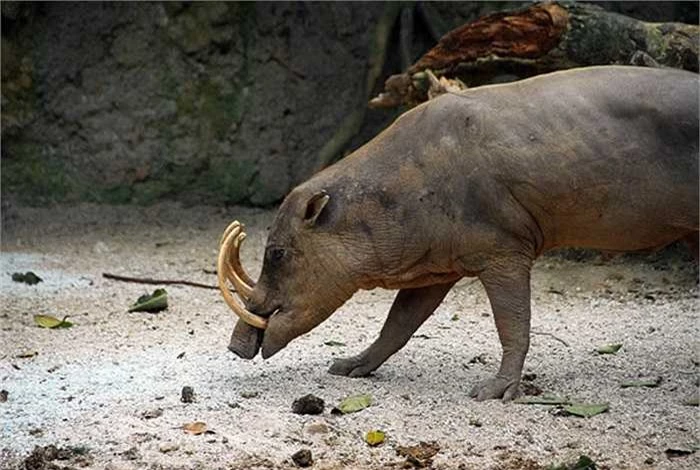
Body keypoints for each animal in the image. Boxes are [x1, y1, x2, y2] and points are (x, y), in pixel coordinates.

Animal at [217, 66, 696, 400]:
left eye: (277, 254)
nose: (236, 347)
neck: (408, 185)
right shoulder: (434, 267)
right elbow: (398, 324)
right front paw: (352, 365)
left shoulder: (505, 251)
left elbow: (513, 324)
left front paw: (496, 391)